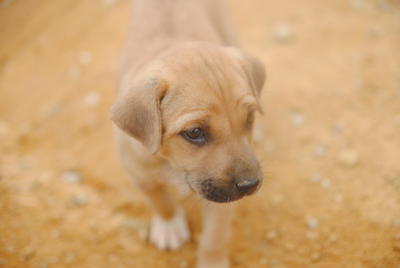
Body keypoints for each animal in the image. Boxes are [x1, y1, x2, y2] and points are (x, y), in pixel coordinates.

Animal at [111, 1, 266, 266]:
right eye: (194, 132)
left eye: (250, 119)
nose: (250, 185)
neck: (172, 164)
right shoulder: (140, 175)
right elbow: (161, 202)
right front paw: (169, 227)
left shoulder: (221, 200)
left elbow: (215, 236)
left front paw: (212, 262)